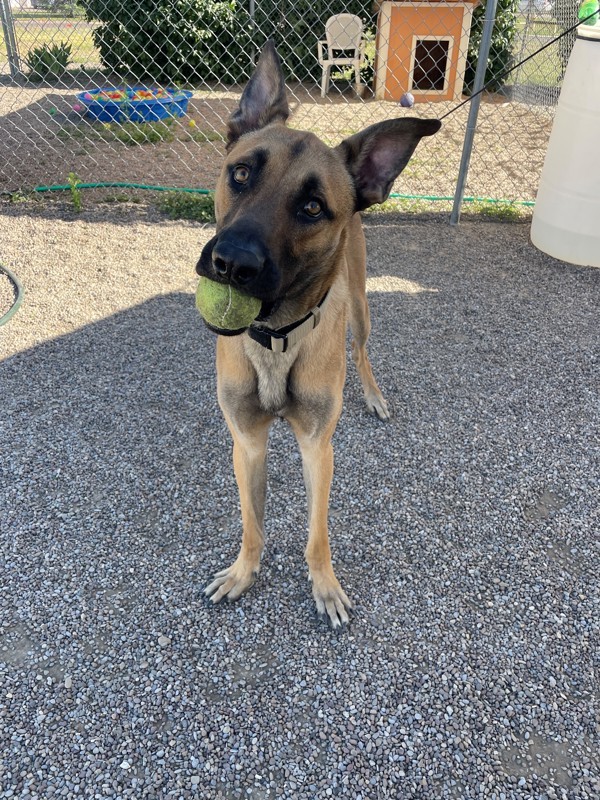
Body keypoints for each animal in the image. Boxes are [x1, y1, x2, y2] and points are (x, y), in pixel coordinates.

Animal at [197, 40, 440, 628]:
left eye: (312, 207)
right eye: (241, 174)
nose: (231, 263)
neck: (276, 338)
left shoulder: (318, 448)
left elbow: (317, 533)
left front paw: (325, 586)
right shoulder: (247, 442)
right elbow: (252, 523)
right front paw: (243, 572)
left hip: (361, 306)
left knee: (362, 350)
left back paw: (373, 395)